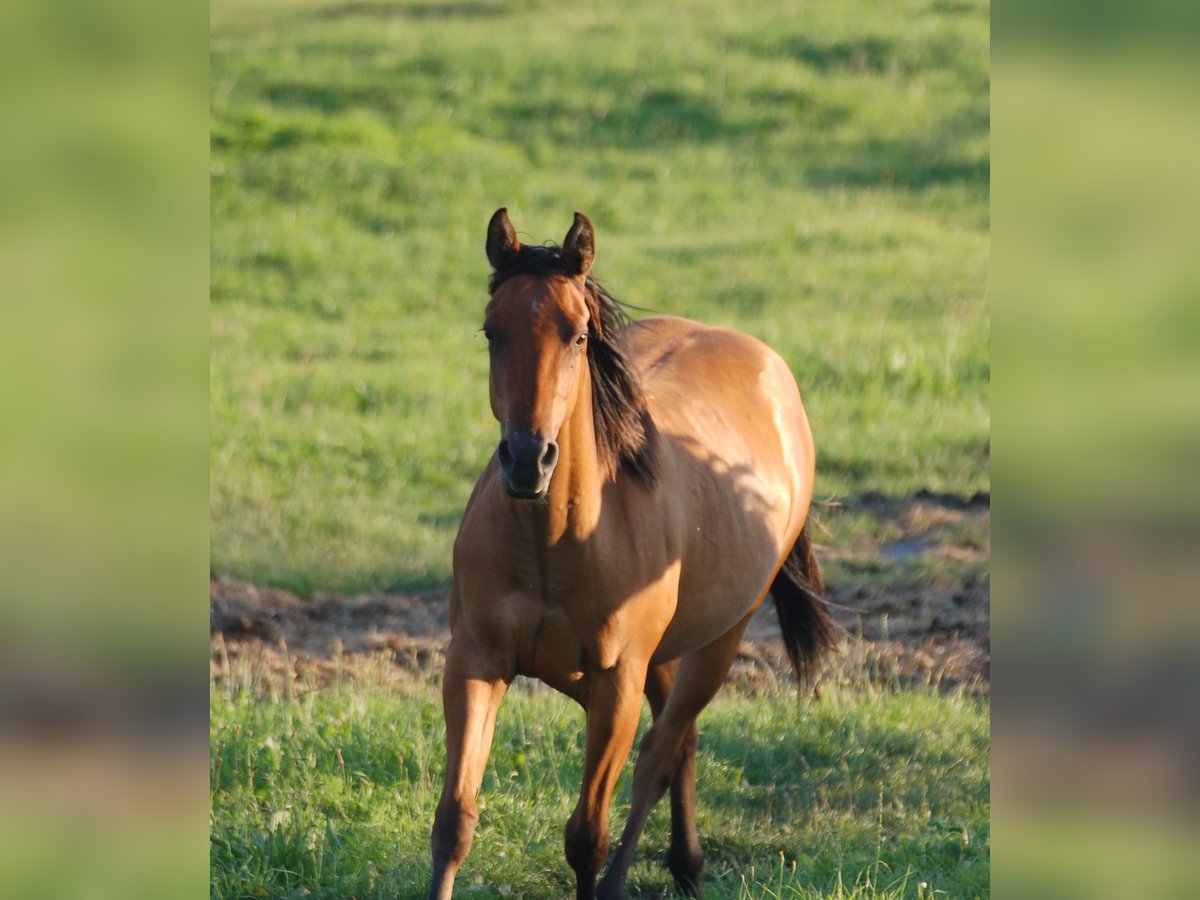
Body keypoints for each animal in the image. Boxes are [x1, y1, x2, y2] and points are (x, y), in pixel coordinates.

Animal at [429, 211, 835, 900]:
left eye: (578, 335)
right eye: (491, 330)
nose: (527, 459)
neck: (556, 546)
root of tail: (772, 372)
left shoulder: (615, 684)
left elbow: (586, 835)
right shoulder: (475, 662)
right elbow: (454, 820)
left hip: (718, 641)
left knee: (661, 752)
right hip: (668, 652)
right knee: (680, 743)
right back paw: (685, 862)